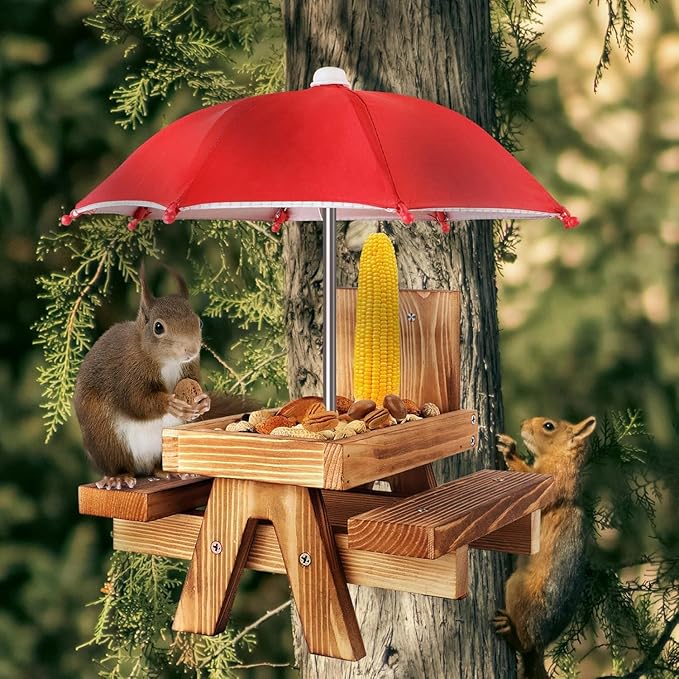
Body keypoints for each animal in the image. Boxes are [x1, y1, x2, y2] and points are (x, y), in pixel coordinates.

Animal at [74, 264, 246, 490]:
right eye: (158, 327)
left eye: (199, 322)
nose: (191, 350)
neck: (168, 363)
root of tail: (142, 466)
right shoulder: (127, 372)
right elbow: (136, 401)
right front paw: (169, 403)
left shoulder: (190, 367)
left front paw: (204, 401)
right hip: (105, 438)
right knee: (118, 462)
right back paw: (118, 477)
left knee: (157, 466)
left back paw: (169, 471)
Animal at [493, 415, 597, 679]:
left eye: (549, 426)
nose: (522, 424)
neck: (560, 461)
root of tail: (541, 644)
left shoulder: (550, 484)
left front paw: (510, 451)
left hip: (519, 590)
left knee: (525, 644)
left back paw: (510, 631)